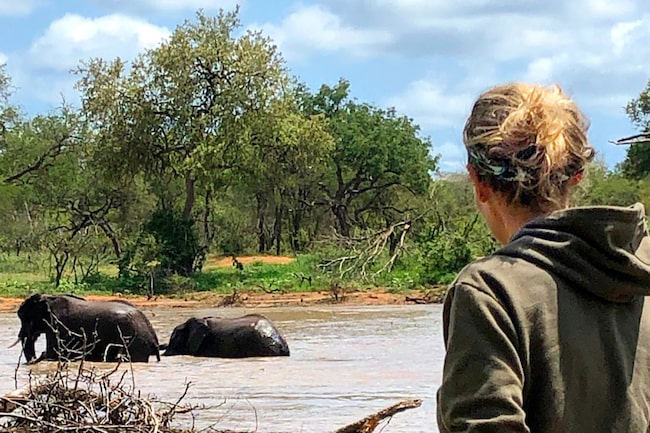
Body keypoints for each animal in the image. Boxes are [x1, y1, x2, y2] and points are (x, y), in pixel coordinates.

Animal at [14, 292, 159, 362]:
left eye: (23, 317)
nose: (33, 360)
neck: (49, 298)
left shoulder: (58, 326)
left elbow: (53, 354)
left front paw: (42, 357)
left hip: (135, 341)